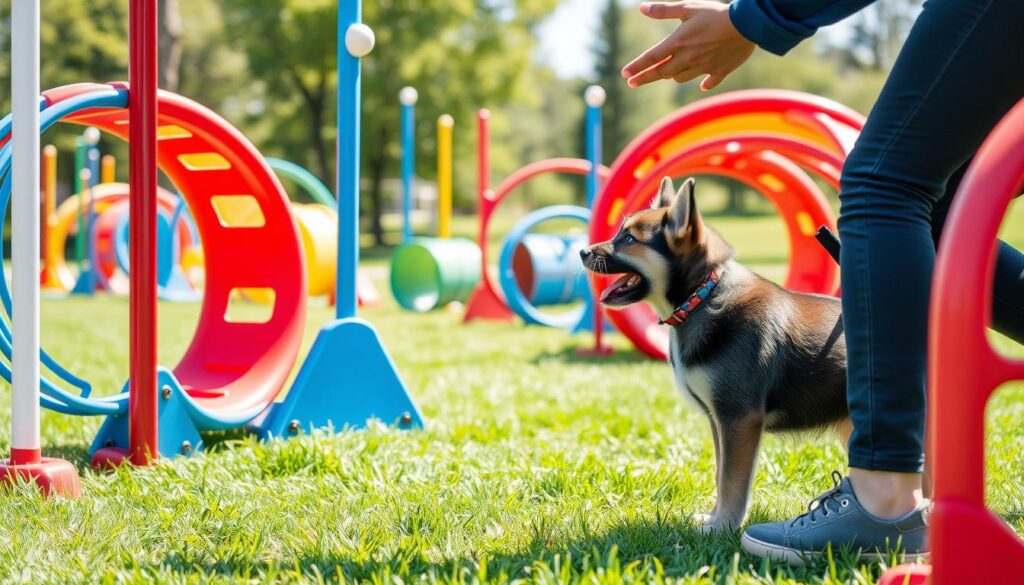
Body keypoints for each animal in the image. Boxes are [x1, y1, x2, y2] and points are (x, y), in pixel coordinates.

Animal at [585, 177, 847, 532]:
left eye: (628, 239)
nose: (582, 251)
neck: (701, 298)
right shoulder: (718, 420)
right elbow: (721, 475)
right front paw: (713, 518)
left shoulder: (739, 418)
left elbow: (733, 481)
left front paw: (723, 527)